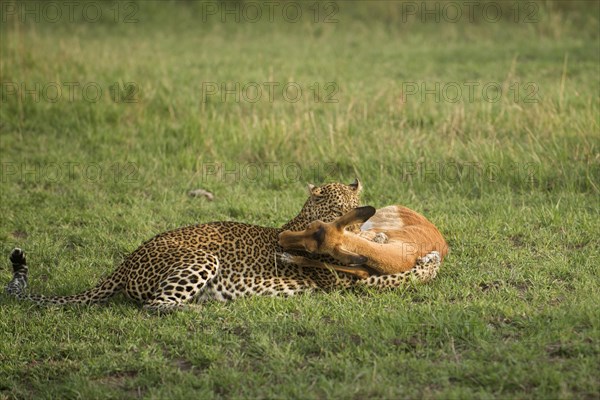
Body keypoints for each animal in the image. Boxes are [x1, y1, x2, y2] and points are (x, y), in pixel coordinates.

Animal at [4, 180, 442, 310]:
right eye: (340, 208)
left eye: (356, 208)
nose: (363, 220)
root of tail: (127, 260)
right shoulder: (344, 282)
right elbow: (394, 277)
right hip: (201, 258)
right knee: (154, 306)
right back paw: (199, 311)